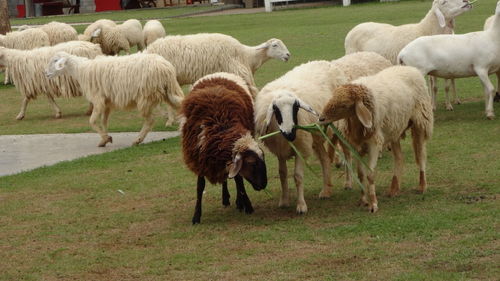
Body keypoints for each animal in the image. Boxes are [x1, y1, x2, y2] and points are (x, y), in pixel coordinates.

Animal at [45, 50, 184, 147]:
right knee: (181, 105)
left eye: (55, 60)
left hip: (145, 96)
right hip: (168, 91)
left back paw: (137, 140)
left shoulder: (98, 100)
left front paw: (105, 138)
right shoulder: (107, 102)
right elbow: (104, 122)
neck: (81, 71)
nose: (45, 73)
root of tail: (165, 68)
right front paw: (105, 139)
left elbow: (92, 121)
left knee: (150, 120)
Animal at [145, 32, 292, 124]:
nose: (288, 55)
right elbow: (253, 93)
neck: (247, 56)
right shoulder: (239, 71)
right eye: (275, 45)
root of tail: (146, 51)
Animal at [181, 71, 268, 223]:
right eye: (252, 163)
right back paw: (226, 198)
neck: (221, 128)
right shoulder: (199, 159)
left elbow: (239, 181)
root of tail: (218, 73)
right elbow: (200, 187)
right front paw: (196, 216)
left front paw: (246, 205)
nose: (264, 184)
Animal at [256, 51, 392, 213]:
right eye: (276, 110)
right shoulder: (280, 150)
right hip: (316, 137)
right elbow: (283, 174)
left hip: (340, 129)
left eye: (296, 108)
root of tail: (325, 63)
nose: (290, 134)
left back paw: (348, 183)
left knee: (347, 155)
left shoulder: (301, 147)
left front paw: (301, 205)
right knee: (325, 160)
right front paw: (284, 200)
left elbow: (298, 176)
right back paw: (326, 190)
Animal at [320, 65, 434, 212]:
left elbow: (370, 174)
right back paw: (394, 189)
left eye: (344, 104)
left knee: (421, 156)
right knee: (399, 158)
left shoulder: (374, 143)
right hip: (394, 129)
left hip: (420, 122)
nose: (321, 118)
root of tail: (408, 67)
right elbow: (361, 174)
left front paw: (373, 204)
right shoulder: (357, 145)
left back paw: (422, 186)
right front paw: (363, 200)